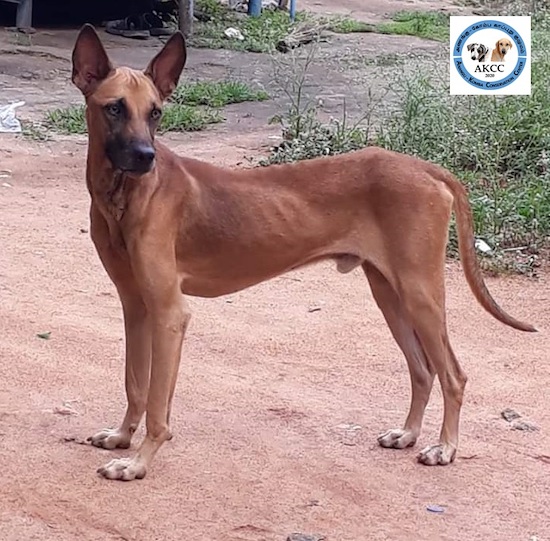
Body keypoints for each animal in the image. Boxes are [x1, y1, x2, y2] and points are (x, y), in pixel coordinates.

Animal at [70, 26, 540, 480]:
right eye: (115, 108)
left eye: (155, 113)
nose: (145, 157)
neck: (125, 196)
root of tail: (426, 167)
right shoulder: (136, 305)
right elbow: (135, 383)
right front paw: (122, 437)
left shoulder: (169, 312)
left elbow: (157, 405)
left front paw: (138, 463)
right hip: (390, 293)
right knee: (423, 370)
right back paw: (407, 434)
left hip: (420, 293)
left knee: (453, 375)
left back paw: (444, 448)